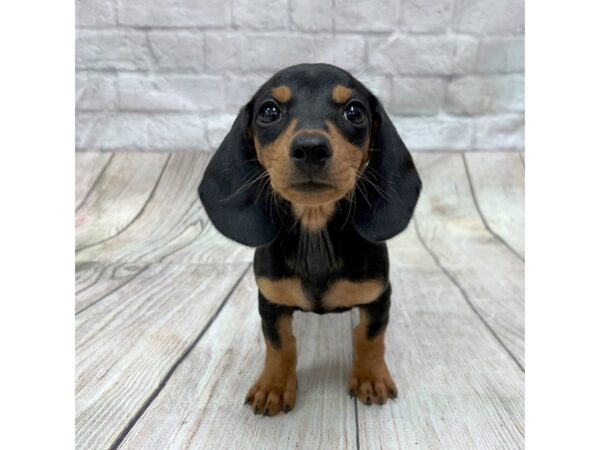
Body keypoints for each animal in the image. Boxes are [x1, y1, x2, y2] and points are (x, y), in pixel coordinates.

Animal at [198, 62, 422, 414]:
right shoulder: (271, 302)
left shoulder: (378, 297)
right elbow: (280, 344)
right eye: (269, 111)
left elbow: (370, 337)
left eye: (355, 111)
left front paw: (370, 377)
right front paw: (274, 386)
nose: (311, 148)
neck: (315, 230)